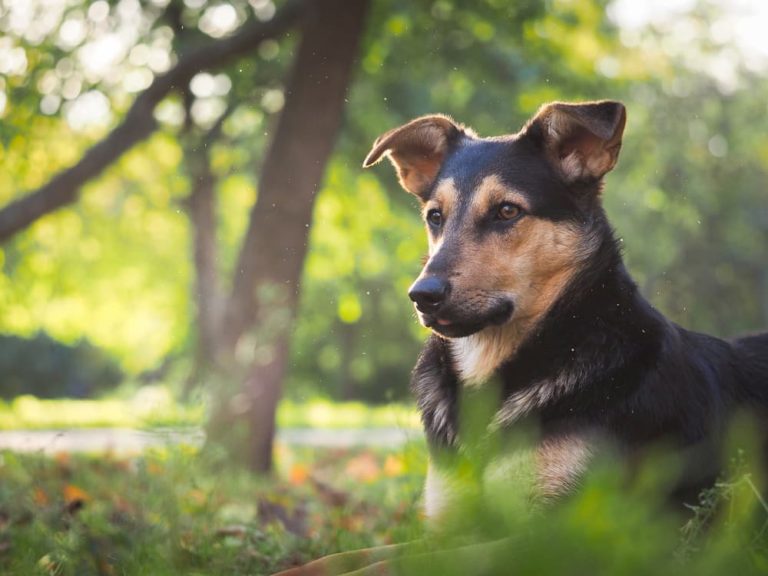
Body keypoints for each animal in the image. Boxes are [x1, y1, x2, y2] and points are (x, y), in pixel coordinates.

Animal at [274, 100, 768, 576]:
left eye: (507, 211)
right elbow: (351, 558)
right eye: (435, 217)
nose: (422, 295)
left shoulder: (570, 539)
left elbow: (396, 566)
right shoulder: (450, 525)